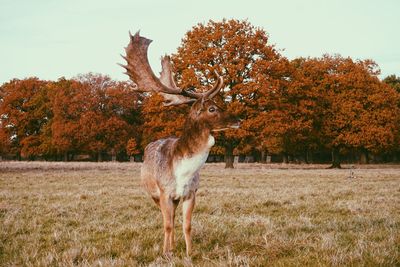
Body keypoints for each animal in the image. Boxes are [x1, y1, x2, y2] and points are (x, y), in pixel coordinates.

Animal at [120, 32, 239, 258]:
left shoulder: (191, 193)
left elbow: (187, 225)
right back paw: (169, 247)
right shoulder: (164, 192)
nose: (238, 120)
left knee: (174, 218)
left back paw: (175, 246)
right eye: (212, 108)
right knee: (166, 220)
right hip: (154, 193)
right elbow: (167, 224)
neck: (182, 173)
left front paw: (189, 253)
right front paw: (166, 253)